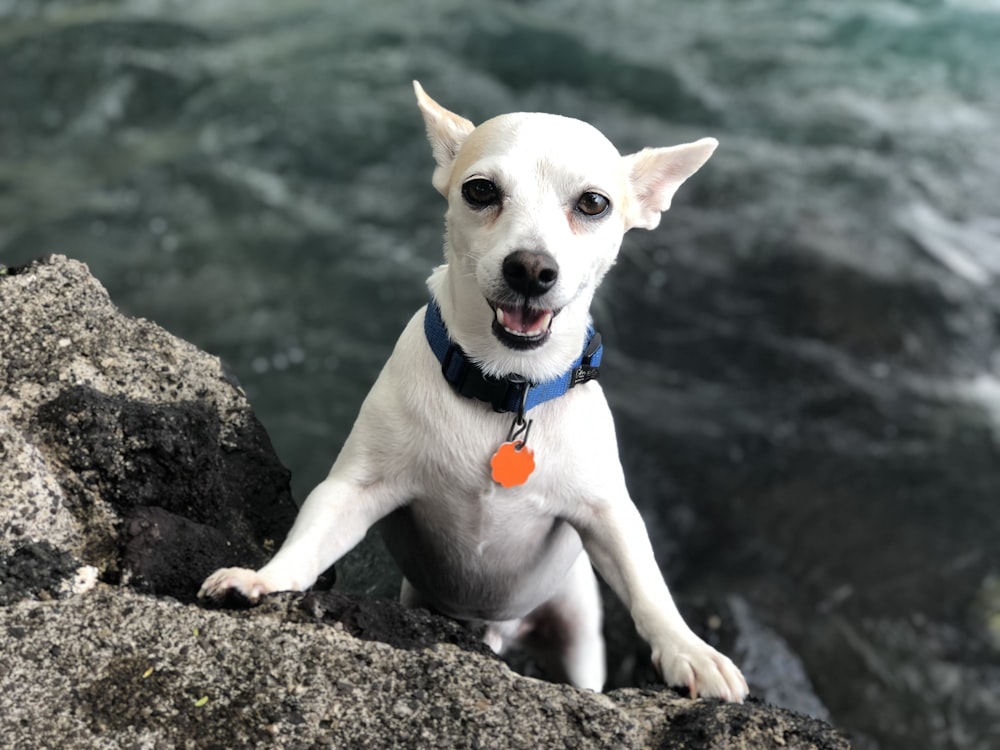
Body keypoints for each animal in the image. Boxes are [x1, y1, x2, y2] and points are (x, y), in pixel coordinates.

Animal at [199, 83, 752, 704]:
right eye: (481, 190)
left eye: (593, 204)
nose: (530, 268)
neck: (505, 390)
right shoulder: (353, 491)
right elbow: (309, 539)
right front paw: (261, 579)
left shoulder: (609, 517)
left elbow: (647, 585)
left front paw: (691, 651)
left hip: (577, 629)